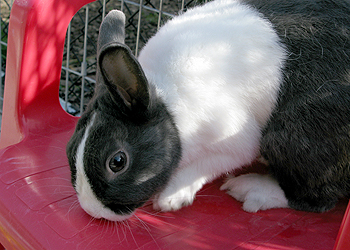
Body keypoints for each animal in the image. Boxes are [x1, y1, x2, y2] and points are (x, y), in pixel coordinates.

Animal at [66, 0, 350, 223]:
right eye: (70, 149)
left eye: (117, 161)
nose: (93, 211)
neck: (166, 100)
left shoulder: (233, 140)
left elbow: (207, 165)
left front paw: (172, 197)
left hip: (295, 140)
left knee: (315, 199)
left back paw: (251, 189)